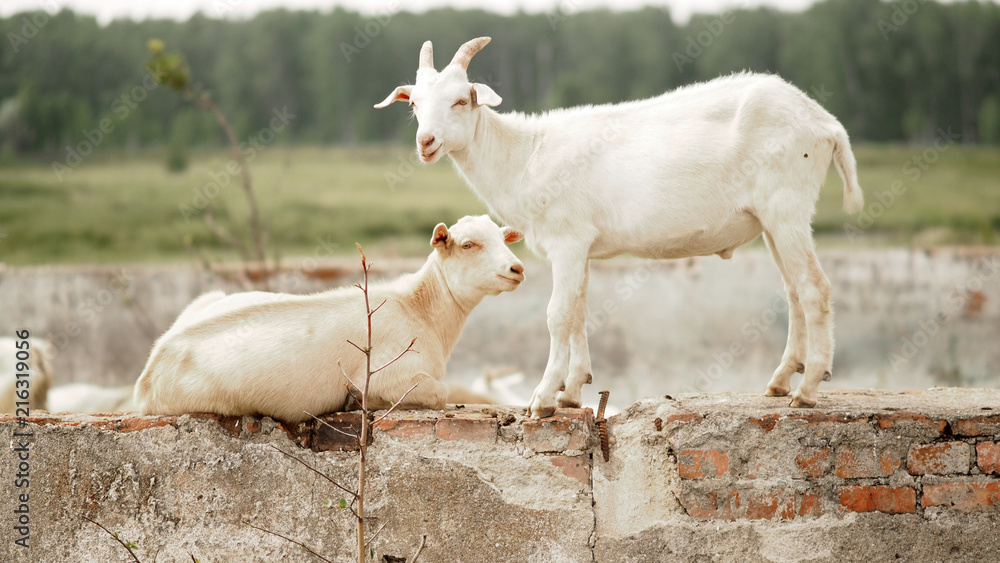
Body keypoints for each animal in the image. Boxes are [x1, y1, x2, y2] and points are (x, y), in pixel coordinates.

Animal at [137, 216, 528, 424]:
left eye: (503, 238)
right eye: (467, 244)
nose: (517, 268)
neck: (419, 306)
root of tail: (148, 375)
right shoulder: (390, 375)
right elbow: (439, 393)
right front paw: (355, 402)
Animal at [378, 37, 864, 416]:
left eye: (461, 100)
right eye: (415, 104)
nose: (426, 143)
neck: (526, 156)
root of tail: (826, 124)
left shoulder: (568, 239)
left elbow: (558, 314)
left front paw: (542, 399)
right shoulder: (582, 246)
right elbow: (579, 309)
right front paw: (573, 392)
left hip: (787, 205)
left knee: (814, 288)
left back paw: (807, 390)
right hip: (771, 221)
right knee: (793, 290)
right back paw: (781, 381)